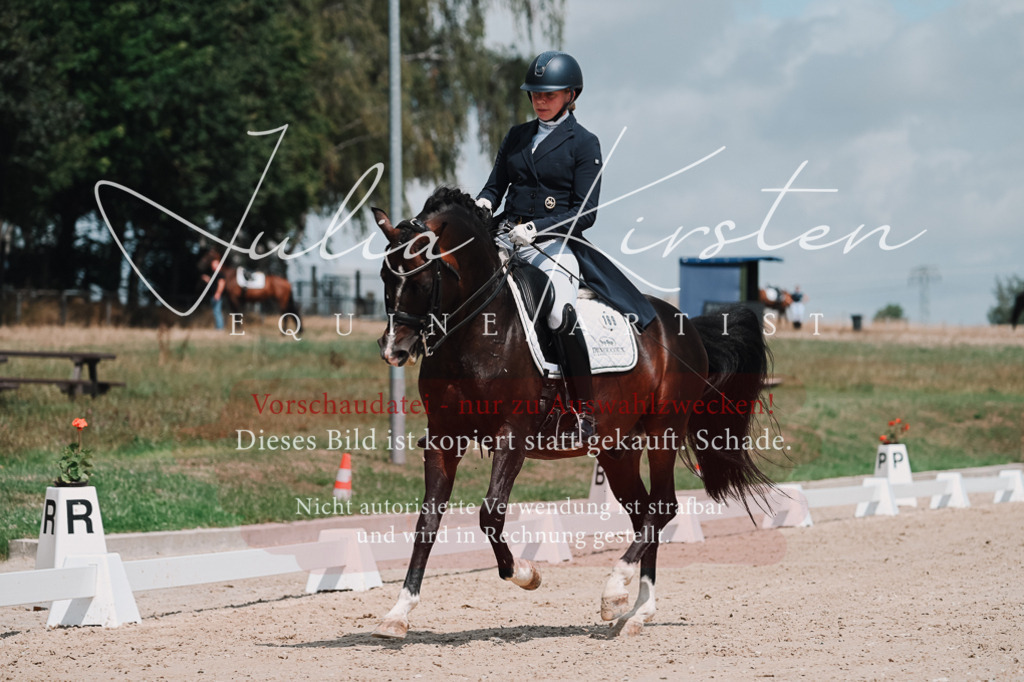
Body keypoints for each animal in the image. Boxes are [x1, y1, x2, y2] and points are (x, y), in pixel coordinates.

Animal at [371, 187, 775, 639]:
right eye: (385, 275)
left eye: (422, 278)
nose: (394, 350)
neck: (477, 332)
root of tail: (682, 322)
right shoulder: (443, 438)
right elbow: (427, 522)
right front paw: (398, 612)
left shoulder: (512, 436)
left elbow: (491, 513)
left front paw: (526, 574)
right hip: (617, 447)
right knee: (643, 511)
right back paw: (636, 610)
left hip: (663, 430)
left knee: (664, 506)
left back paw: (616, 591)